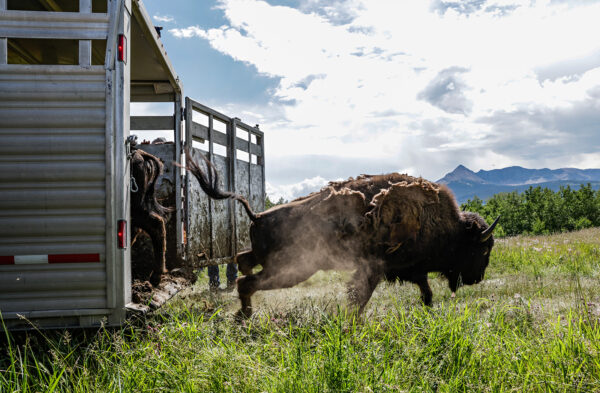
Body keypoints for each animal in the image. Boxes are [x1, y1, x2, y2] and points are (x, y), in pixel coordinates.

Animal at [185, 151, 500, 316]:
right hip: (291, 269)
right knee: (246, 282)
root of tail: (257, 215)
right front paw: (352, 320)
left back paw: (243, 314)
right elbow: (359, 296)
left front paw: (427, 306)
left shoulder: (410, 269)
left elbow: (425, 289)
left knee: (242, 261)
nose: (477, 278)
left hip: (272, 261)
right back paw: (244, 317)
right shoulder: (376, 269)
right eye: (483, 249)